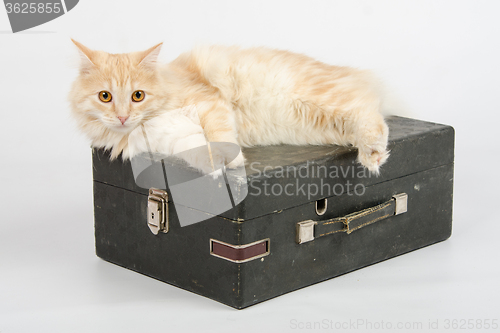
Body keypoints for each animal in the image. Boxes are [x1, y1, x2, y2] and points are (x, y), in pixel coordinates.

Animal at [69, 40, 390, 175]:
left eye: (138, 95)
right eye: (105, 96)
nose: (123, 117)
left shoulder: (208, 101)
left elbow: (219, 135)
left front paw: (232, 161)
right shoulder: (169, 139)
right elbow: (196, 149)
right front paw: (214, 167)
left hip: (320, 99)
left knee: (371, 115)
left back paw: (373, 153)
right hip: (321, 123)